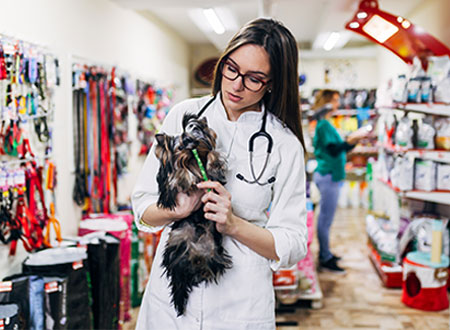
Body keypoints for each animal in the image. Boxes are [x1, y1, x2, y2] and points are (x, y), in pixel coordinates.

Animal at [155, 113, 232, 318]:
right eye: (180, 146)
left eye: (196, 136)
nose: (193, 145)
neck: (192, 161)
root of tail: (194, 254)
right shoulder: (167, 190)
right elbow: (177, 172)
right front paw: (185, 177)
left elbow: (212, 155)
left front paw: (212, 163)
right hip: (177, 238)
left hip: (213, 250)